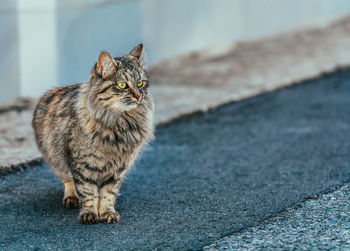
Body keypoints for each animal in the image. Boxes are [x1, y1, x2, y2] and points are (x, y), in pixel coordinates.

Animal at [31, 44, 154, 225]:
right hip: (56, 159)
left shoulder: (117, 169)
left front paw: (107, 212)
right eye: (123, 85)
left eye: (140, 83)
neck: (120, 124)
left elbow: (108, 194)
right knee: (68, 180)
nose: (139, 96)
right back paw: (71, 198)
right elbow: (88, 192)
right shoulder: (82, 165)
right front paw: (89, 213)